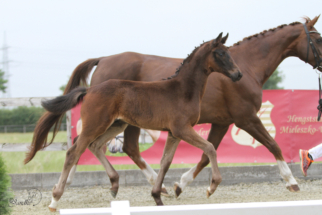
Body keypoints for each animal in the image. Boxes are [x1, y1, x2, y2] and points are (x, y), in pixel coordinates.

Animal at [28, 15, 320, 197]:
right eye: (317, 39)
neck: (247, 66)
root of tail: (104, 59)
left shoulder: (221, 122)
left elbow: (206, 154)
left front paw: (182, 185)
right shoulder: (246, 118)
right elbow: (273, 145)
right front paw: (292, 182)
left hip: (120, 122)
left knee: (103, 146)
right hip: (113, 121)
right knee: (103, 146)